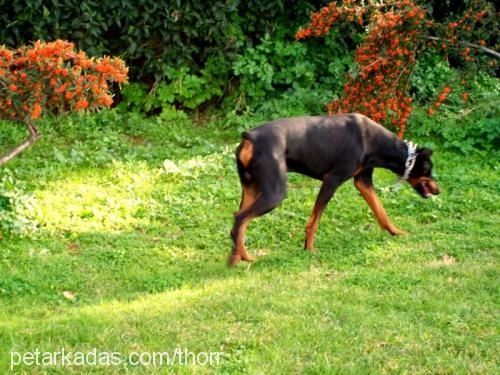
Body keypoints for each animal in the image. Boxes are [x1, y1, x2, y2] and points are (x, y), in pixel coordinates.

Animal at [229, 113, 440, 266]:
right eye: (429, 169)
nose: (438, 191)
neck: (373, 140)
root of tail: (250, 137)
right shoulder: (332, 180)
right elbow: (313, 223)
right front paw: (310, 249)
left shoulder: (363, 181)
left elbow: (381, 213)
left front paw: (397, 232)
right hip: (275, 193)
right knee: (240, 218)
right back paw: (245, 257)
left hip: (251, 189)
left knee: (237, 224)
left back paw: (235, 258)